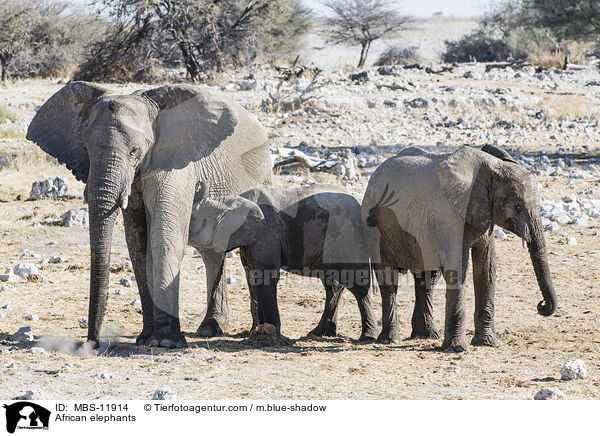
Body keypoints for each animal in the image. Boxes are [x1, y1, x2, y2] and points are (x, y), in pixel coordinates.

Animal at [26, 82, 272, 348]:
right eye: (86, 149)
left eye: (135, 151)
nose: (93, 343)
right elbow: (137, 245)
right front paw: (146, 338)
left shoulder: (175, 162)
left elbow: (164, 237)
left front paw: (165, 342)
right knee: (212, 253)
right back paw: (211, 328)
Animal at [188, 184, 380, 340]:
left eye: (192, 219)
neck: (232, 200)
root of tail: (358, 205)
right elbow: (253, 280)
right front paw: (256, 333)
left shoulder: (267, 233)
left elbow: (266, 278)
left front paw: (272, 335)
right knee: (333, 285)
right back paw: (320, 333)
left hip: (350, 237)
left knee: (357, 285)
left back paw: (368, 336)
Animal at [364, 145, 560, 352]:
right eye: (517, 206)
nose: (541, 305)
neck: (492, 166)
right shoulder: (448, 215)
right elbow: (457, 266)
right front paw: (457, 348)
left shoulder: (484, 214)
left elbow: (487, 266)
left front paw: (489, 343)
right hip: (375, 226)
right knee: (388, 280)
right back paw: (390, 340)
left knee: (427, 279)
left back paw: (426, 336)